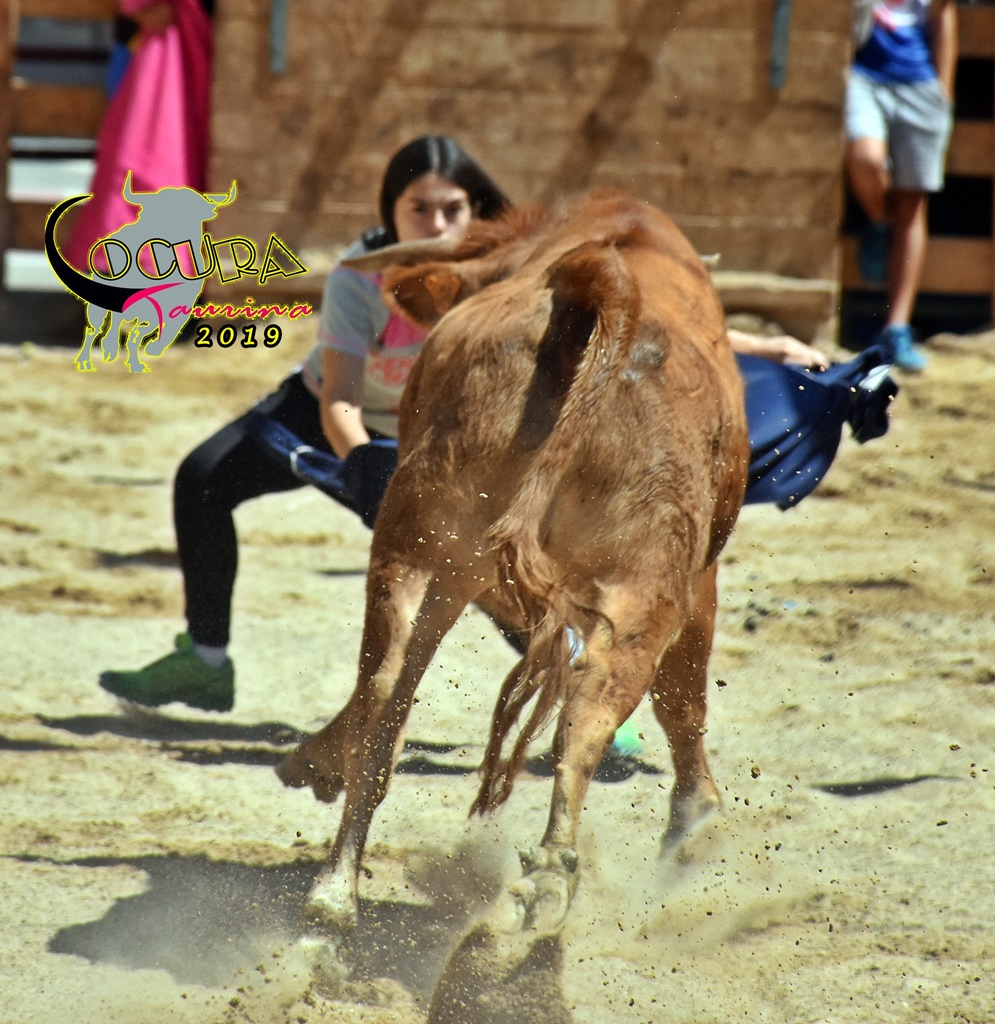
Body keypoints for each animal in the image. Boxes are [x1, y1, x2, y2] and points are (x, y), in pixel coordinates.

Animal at [278, 189, 749, 961]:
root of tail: (600, 278)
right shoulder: (697, 577)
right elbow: (682, 699)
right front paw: (695, 821)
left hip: (418, 543)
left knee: (388, 690)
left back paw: (339, 890)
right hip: (631, 579)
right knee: (589, 710)